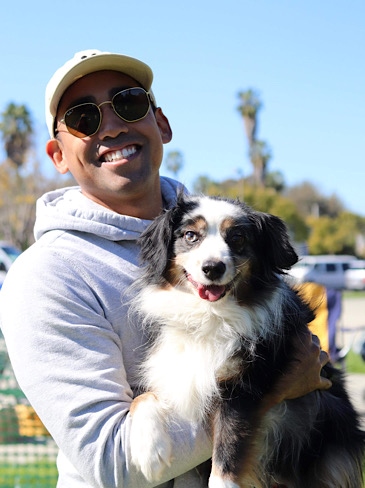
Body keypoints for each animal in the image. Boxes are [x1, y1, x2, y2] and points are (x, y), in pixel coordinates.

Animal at [129, 193, 362, 488]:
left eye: (237, 237)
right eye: (191, 235)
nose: (213, 268)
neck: (211, 316)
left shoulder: (242, 388)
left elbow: (228, 451)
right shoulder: (178, 374)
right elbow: (143, 397)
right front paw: (150, 454)